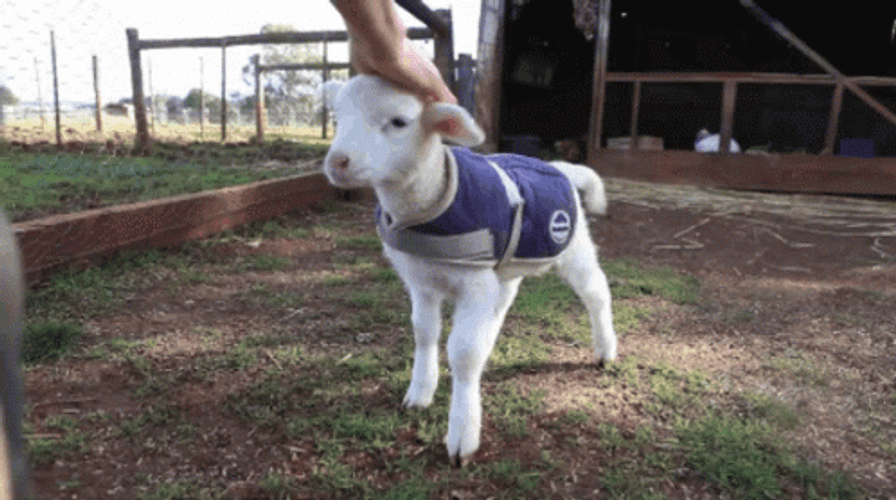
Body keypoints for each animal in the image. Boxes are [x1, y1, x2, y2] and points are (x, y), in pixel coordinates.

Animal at [322, 75, 616, 466]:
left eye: (399, 122)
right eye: (336, 117)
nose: (337, 161)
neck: (427, 206)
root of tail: (559, 166)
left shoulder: (473, 284)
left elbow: (462, 352)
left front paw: (462, 434)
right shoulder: (421, 283)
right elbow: (424, 333)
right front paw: (420, 391)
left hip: (574, 245)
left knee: (596, 292)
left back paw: (605, 349)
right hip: (504, 266)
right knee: (504, 301)